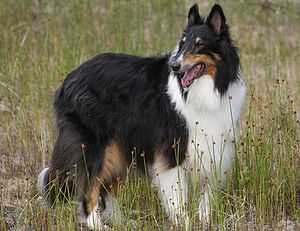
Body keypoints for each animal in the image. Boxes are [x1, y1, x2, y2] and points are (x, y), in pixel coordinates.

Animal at [37, 3, 246, 229]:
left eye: (199, 45)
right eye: (182, 44)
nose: (174, 66)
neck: (204, 90)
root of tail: (70, 78)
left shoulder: (213, 148)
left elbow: (206, 197)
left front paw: (205, 222)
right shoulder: (171, 152)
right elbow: (177, 197)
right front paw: (184, 224)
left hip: (118, 149)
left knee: (107, 189)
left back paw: (124, 222)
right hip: (96, 148)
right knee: (89, 189)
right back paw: (97, 224)